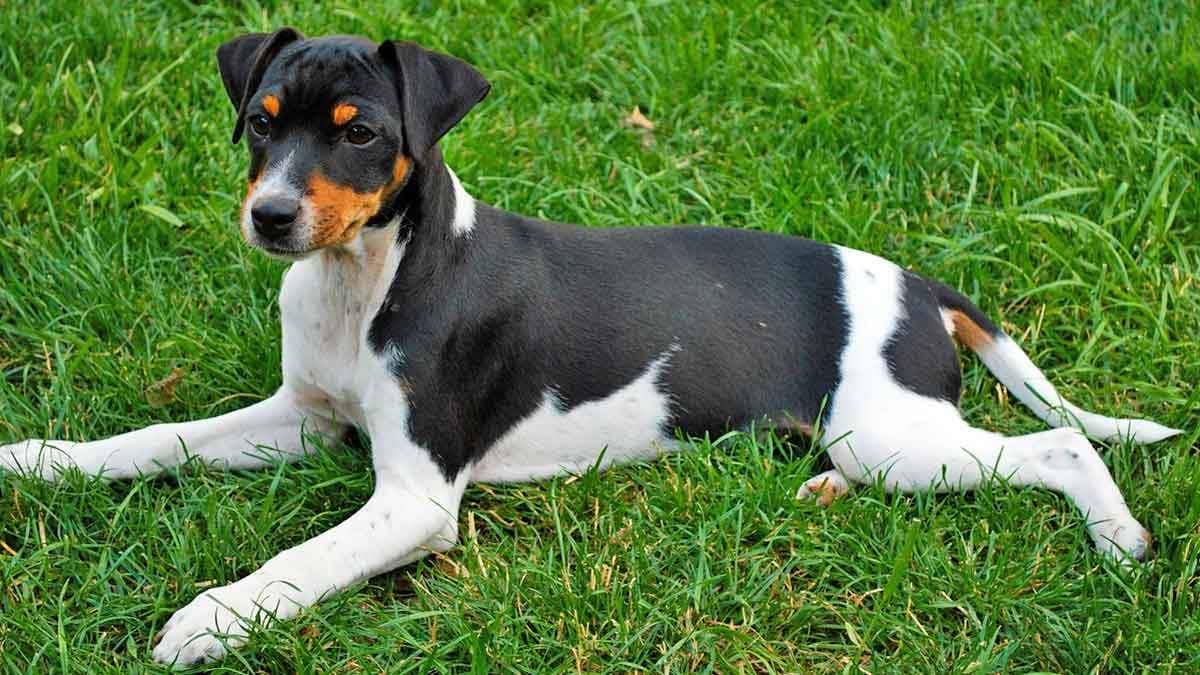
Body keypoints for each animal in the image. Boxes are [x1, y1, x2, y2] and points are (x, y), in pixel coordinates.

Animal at [0, 30, 1180, 662]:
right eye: (262, 119)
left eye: (361, 132)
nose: (272, 218)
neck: (365, 280)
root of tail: (920, 285)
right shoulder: (306, 421)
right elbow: (155, 439)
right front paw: (37, 460)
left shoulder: (414, 498)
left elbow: (302, 559)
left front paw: (210, 619)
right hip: (882, 442)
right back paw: (814, 490)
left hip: (899, 435)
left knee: (1060, 447)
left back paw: (1120, 538)